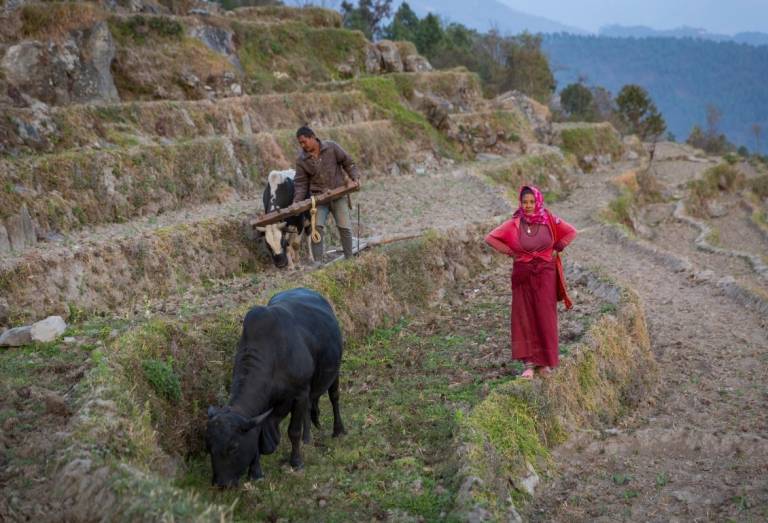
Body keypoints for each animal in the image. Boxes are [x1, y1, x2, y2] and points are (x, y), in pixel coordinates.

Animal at [207, 286, 344, 488]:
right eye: (209, 447)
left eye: (233, 447)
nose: (221, 484)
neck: (274, 357)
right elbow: (256, 437)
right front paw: (256, 473)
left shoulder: (299, 393)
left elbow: (293, 431)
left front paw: (296, 462)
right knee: (309, 410)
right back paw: (307, 439)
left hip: (334, 372)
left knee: (334, 398)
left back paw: (338, 430)